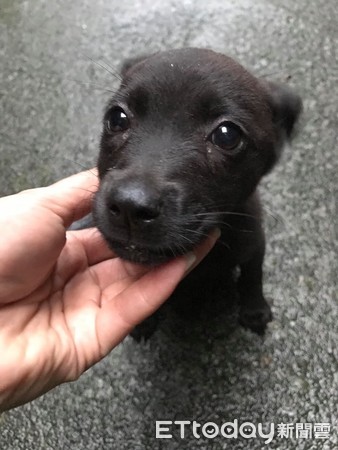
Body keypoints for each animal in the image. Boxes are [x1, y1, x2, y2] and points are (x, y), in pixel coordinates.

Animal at [92, 48, 302, 338]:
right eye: (117, 118)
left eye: (227, 135)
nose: (129, 206)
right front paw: (143, 321)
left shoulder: (254, 240)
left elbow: (252, 275)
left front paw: (255, 310)